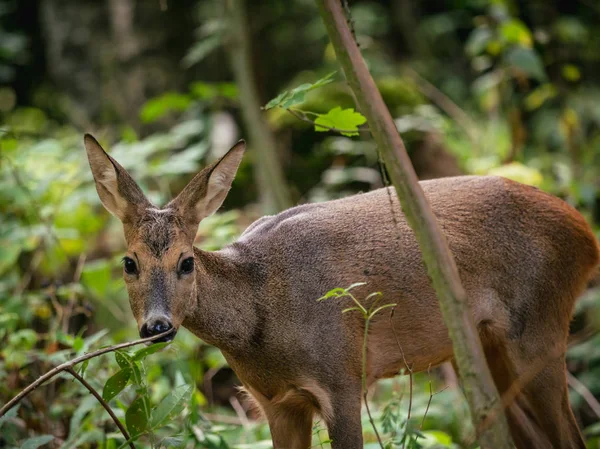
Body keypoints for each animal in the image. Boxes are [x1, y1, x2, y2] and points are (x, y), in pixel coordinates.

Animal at [83, 134, 596, 448]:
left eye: (186, 262)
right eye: (129, 263)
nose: (156, 325)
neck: (262, 317)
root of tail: (586, 234)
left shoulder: (343, 377)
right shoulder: (275, 403)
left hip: (539, 328)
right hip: (489, 346)